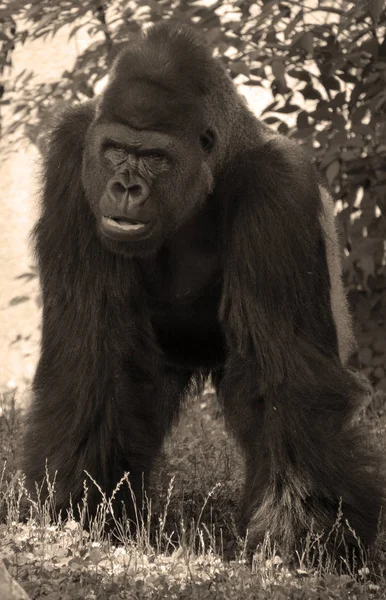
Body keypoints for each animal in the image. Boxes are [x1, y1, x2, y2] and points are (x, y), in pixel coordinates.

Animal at [23, 24, 382, 556]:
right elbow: (90, 353)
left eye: (155, 158)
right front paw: (75, 506)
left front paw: (306, 530)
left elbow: (287, 374)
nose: (125, 186)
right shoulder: (73, 155)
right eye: (114, 149)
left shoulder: (278, 187)